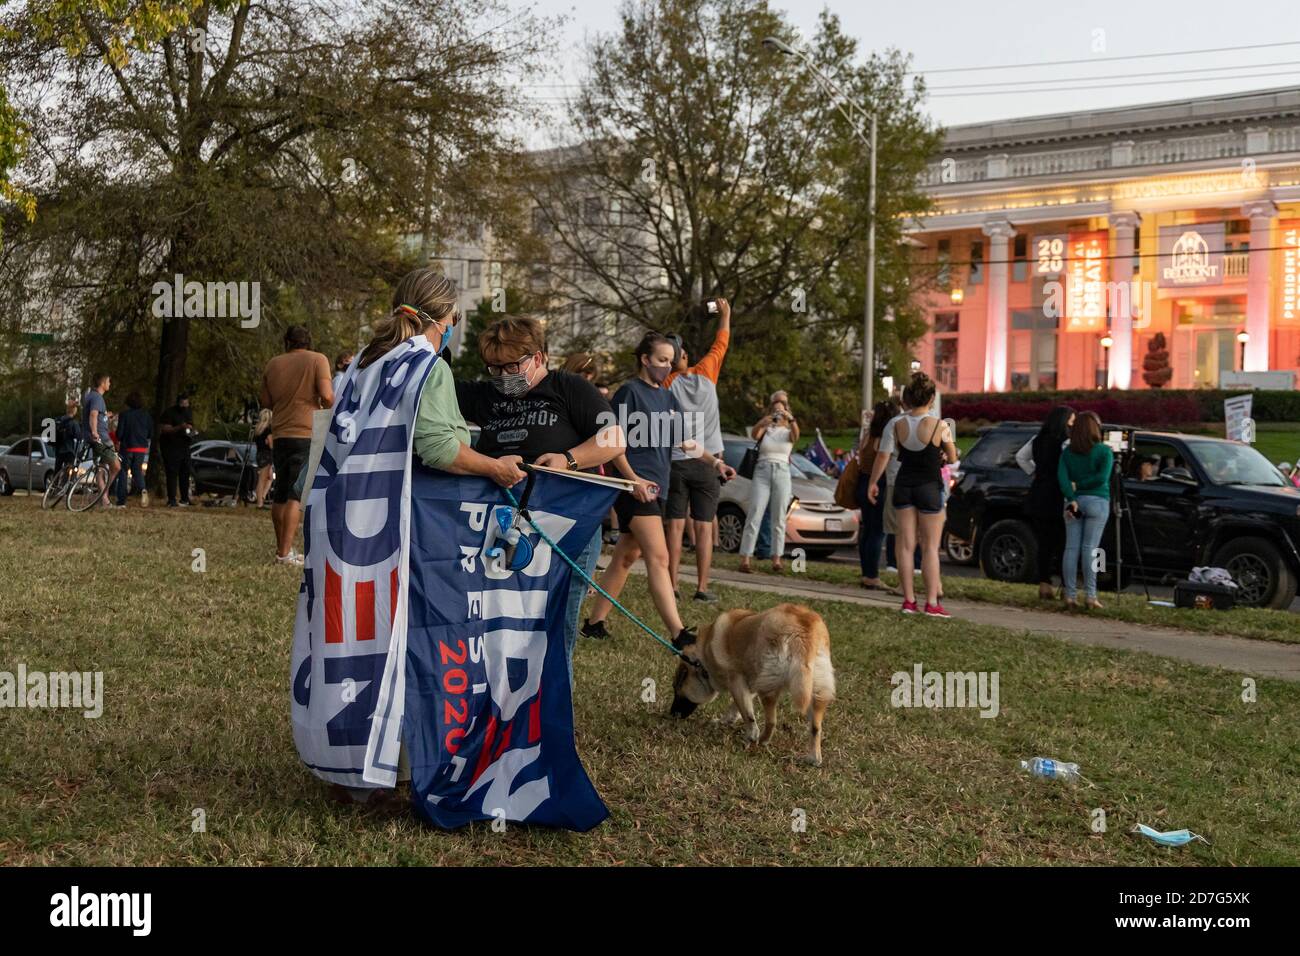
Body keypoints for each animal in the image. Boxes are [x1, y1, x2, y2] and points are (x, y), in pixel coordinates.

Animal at [670, 606, 832, 770]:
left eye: (676, 690)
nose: (671, 714)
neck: (703, 656)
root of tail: (802, 630)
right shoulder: (751, 683)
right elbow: (737, 707)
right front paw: (726, 720)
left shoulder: (736, 680)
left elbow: (746, 714)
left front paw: (749, 736)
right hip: (817, 690)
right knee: (815, 728)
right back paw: (813, 758)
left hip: (768, 688)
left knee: (772, 722)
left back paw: (762, 740)